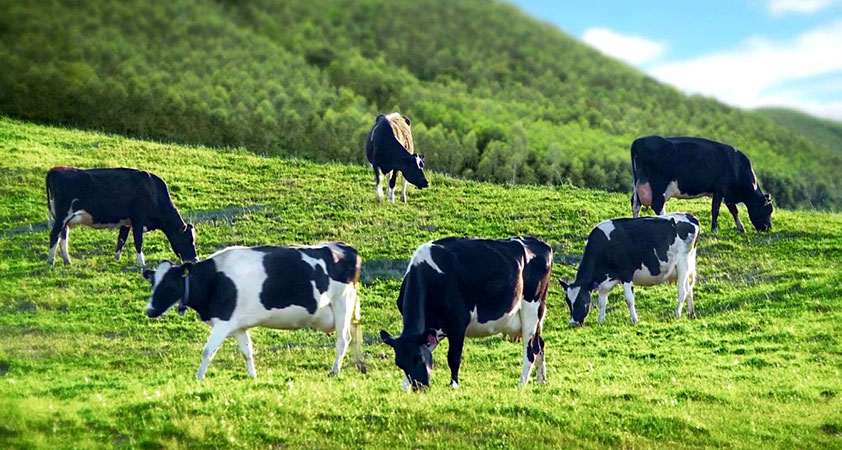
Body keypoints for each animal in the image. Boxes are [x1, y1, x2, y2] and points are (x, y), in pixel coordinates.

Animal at [46, 167, 197, 266]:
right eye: (188, 240)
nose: (195, 260)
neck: (153, 192)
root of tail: (56, 170)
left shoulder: (126, 222)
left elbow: (121, 239)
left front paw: (117, 258)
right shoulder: (138, 220)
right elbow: (138, 241)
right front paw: (141, 262)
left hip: (65, 220)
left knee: (63, 238)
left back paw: (67, 261)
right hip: (62, 217)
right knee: (54, 235)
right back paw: (51, 261)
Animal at [143, 243, 366, 380]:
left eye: (170, 284)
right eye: (153, 282)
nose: (150, 310)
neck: (215, 279)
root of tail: (344, 247)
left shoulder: (224, 321)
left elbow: (208, 350)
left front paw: (199, 377)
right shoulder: (238, 326)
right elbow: (247, 352)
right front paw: (253, 376)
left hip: (342, 302)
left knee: (343, 339)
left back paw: (334, 371)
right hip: (348, 306)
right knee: (355, 331)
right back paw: (360, 365)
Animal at [378, 236, 552, 390]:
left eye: (419, 358)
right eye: (399, 363)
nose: (420, 387)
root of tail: (539, 243)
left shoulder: (458, 323)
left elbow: (453, 357)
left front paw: (454, 385)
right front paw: (404, 387)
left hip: (532, 309)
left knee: (531, 349)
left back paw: (521, 384)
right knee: (540, 344)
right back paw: (542, 381)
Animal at [556, 213, 700, 326]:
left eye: (580, 300)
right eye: (568, 301)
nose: (572, 323)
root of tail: (689, 216)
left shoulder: (626, 274)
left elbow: (629, 299)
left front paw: (635, 319)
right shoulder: (604, 281)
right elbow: (602, 301)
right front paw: (601, 320)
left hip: (682, 263)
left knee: (683, 290)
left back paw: (677, 314)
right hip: (690, 264)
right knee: (690, 288)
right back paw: (691, 313)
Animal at [628, 136, 772, 232]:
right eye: (768, 210)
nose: (768, 228)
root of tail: (638, 141)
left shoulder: (727, 194)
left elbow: (734, 210)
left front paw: (741, 228)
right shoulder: (720, 189)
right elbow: (715, 209)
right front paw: (715, 230)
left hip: (639, 183)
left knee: (635, 203)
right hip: (659, 184)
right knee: (657, 204)